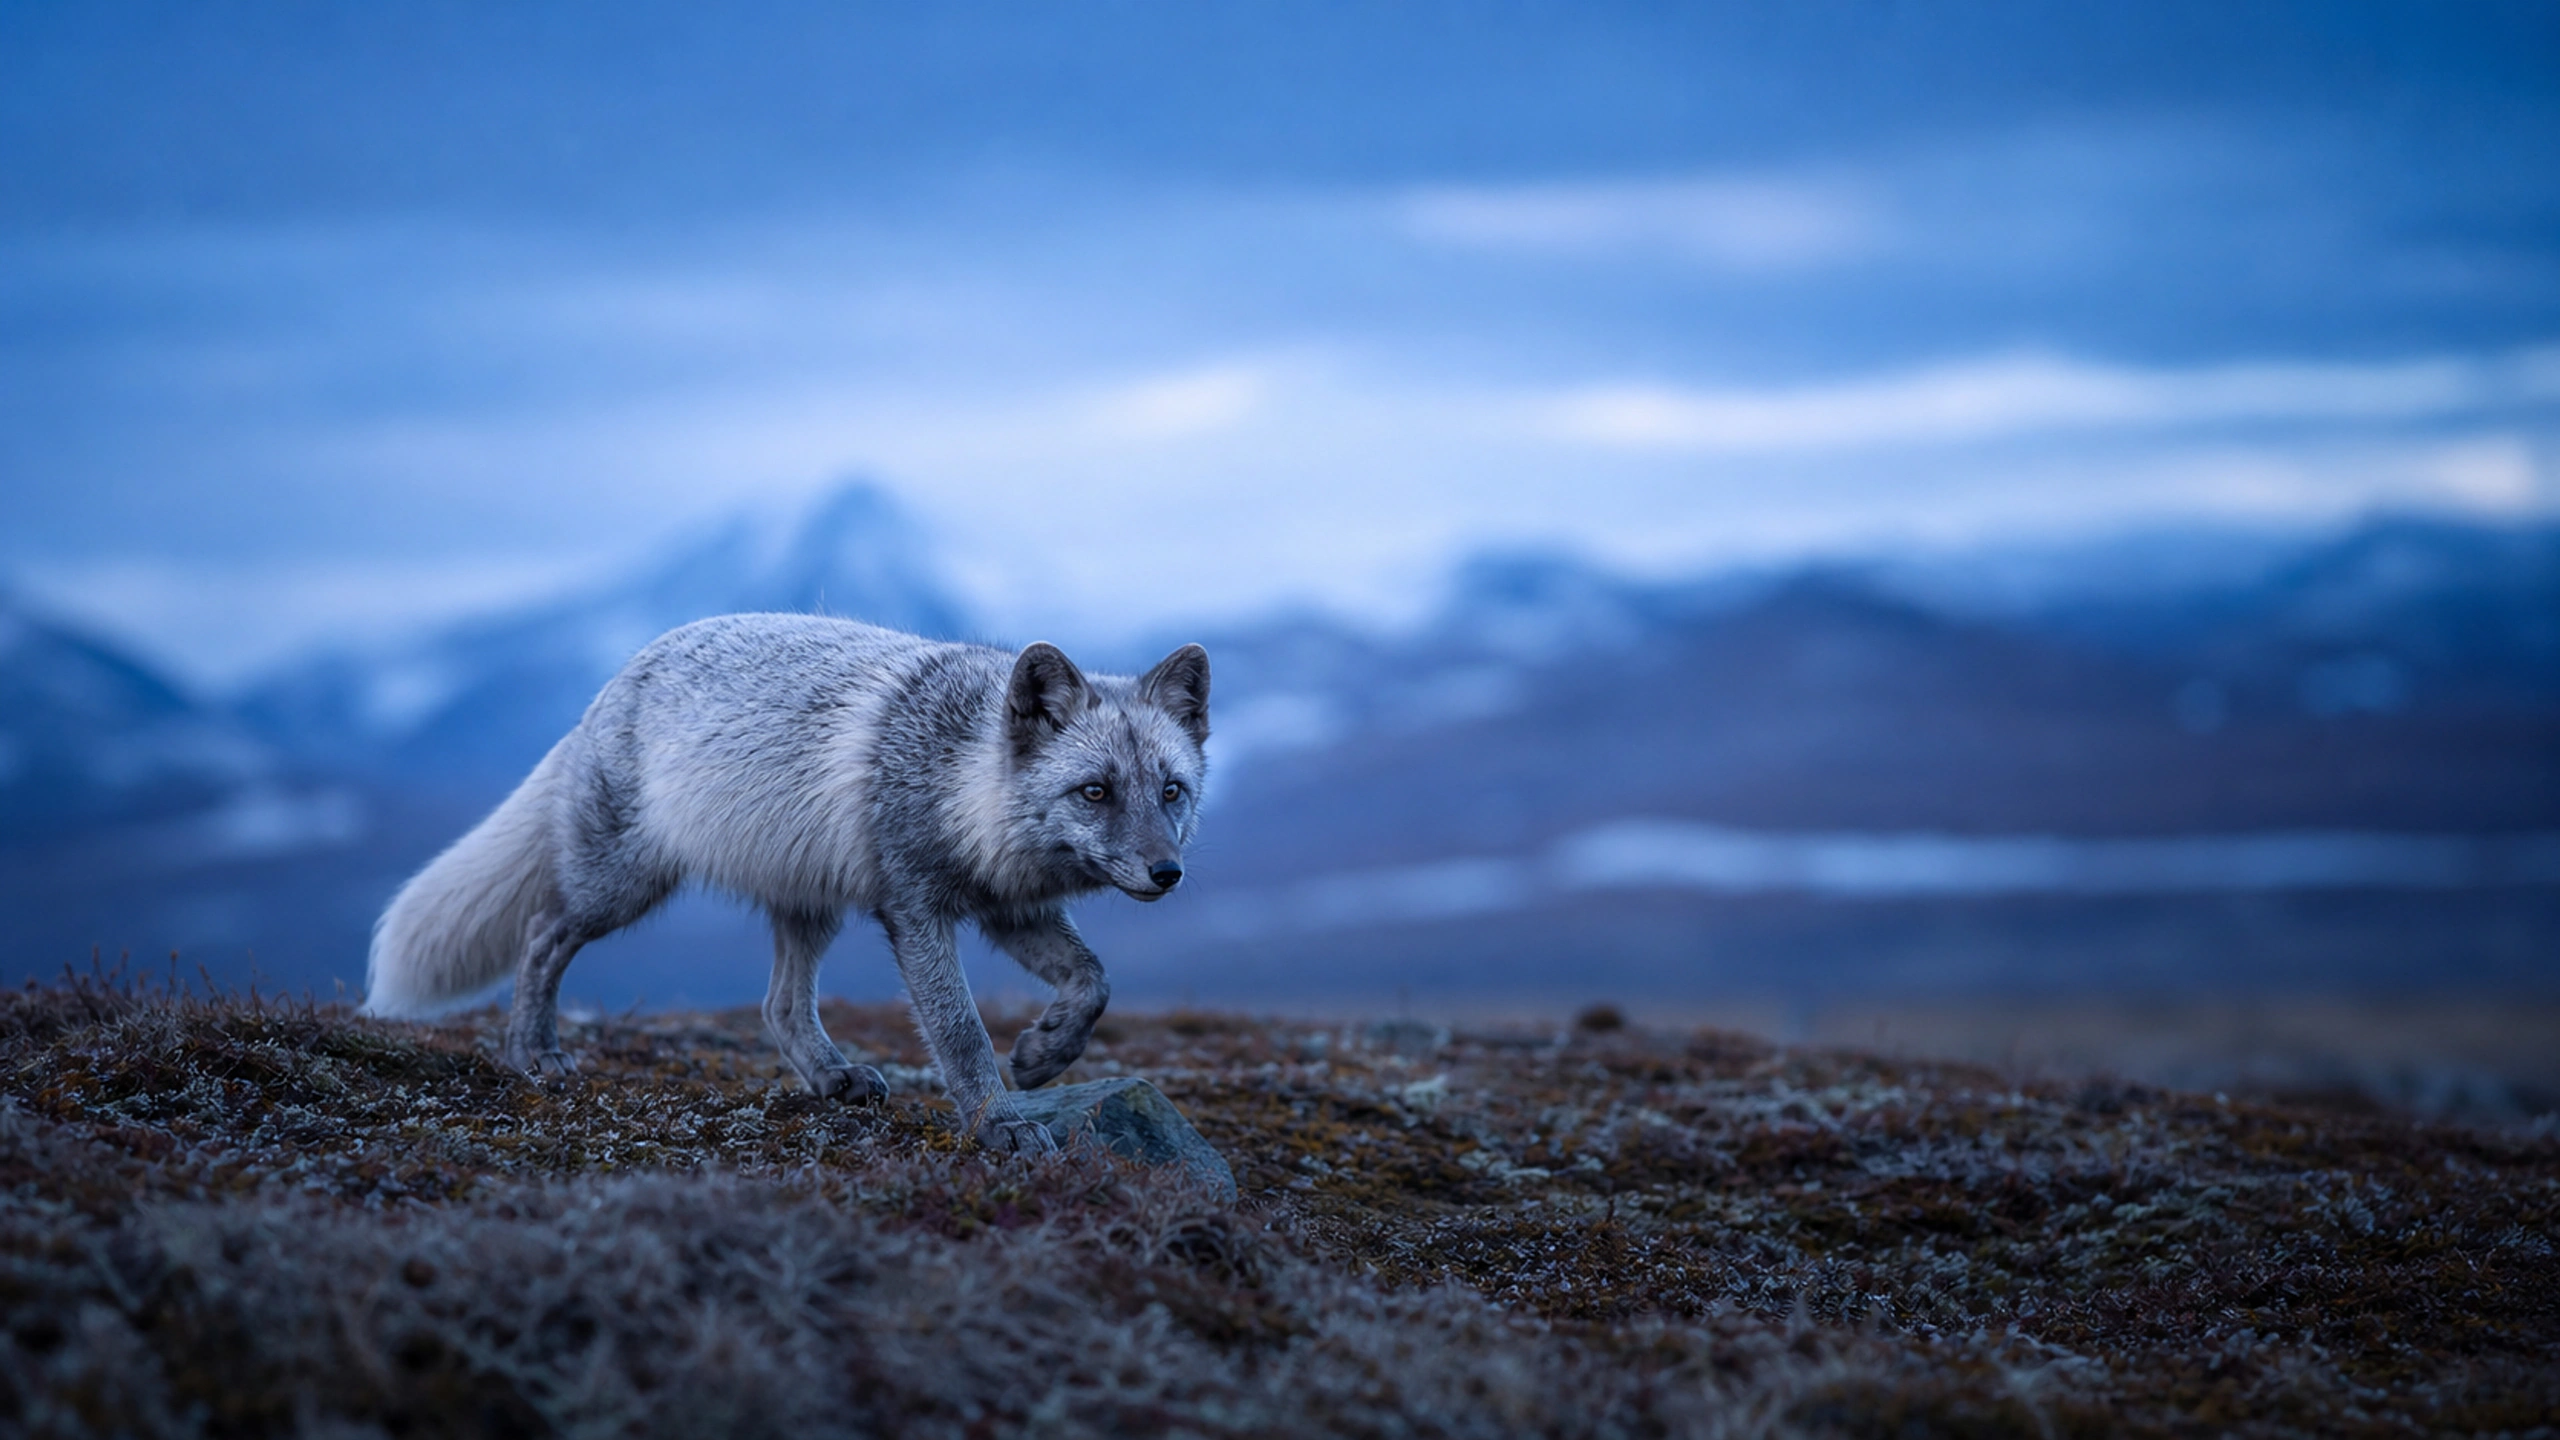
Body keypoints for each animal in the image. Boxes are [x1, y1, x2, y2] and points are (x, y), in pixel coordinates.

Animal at [360, 613, 1210, 1155]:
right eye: (1095, 791)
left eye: (1171, 791)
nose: (1168, 873)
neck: (959, 782)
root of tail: (614, 683)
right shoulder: (916, 910)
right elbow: (960, 1032)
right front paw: (999, 1121)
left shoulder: (1010, 909)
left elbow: (1094, 981)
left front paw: (1043, 1055)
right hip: (622, 888)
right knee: (542, 936)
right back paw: (534, 1052)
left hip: (810, 908)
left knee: (779, 1004)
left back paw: (833, 1076)